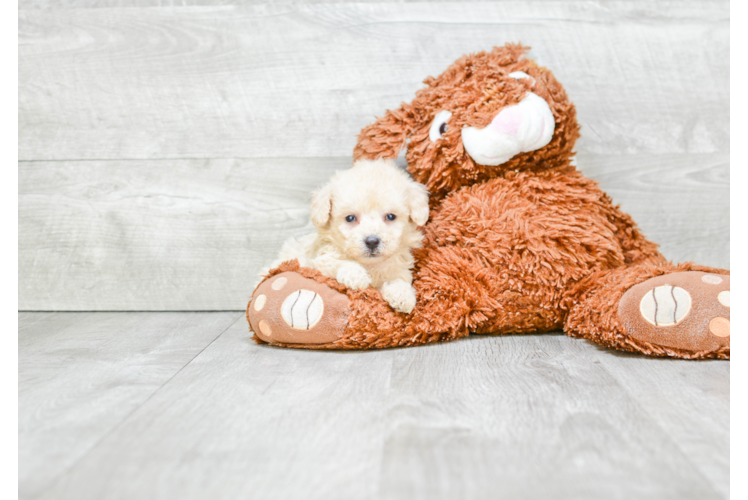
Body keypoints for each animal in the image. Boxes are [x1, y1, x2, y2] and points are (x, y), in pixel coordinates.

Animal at [266, 158, 430, 312]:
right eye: (350, 218)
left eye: (390, 216)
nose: (372, 241)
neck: (370, 266)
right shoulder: (316, 263)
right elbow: (337, 262)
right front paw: (356, 275)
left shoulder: (397, 269)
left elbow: (399, 279)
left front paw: (403, 295)